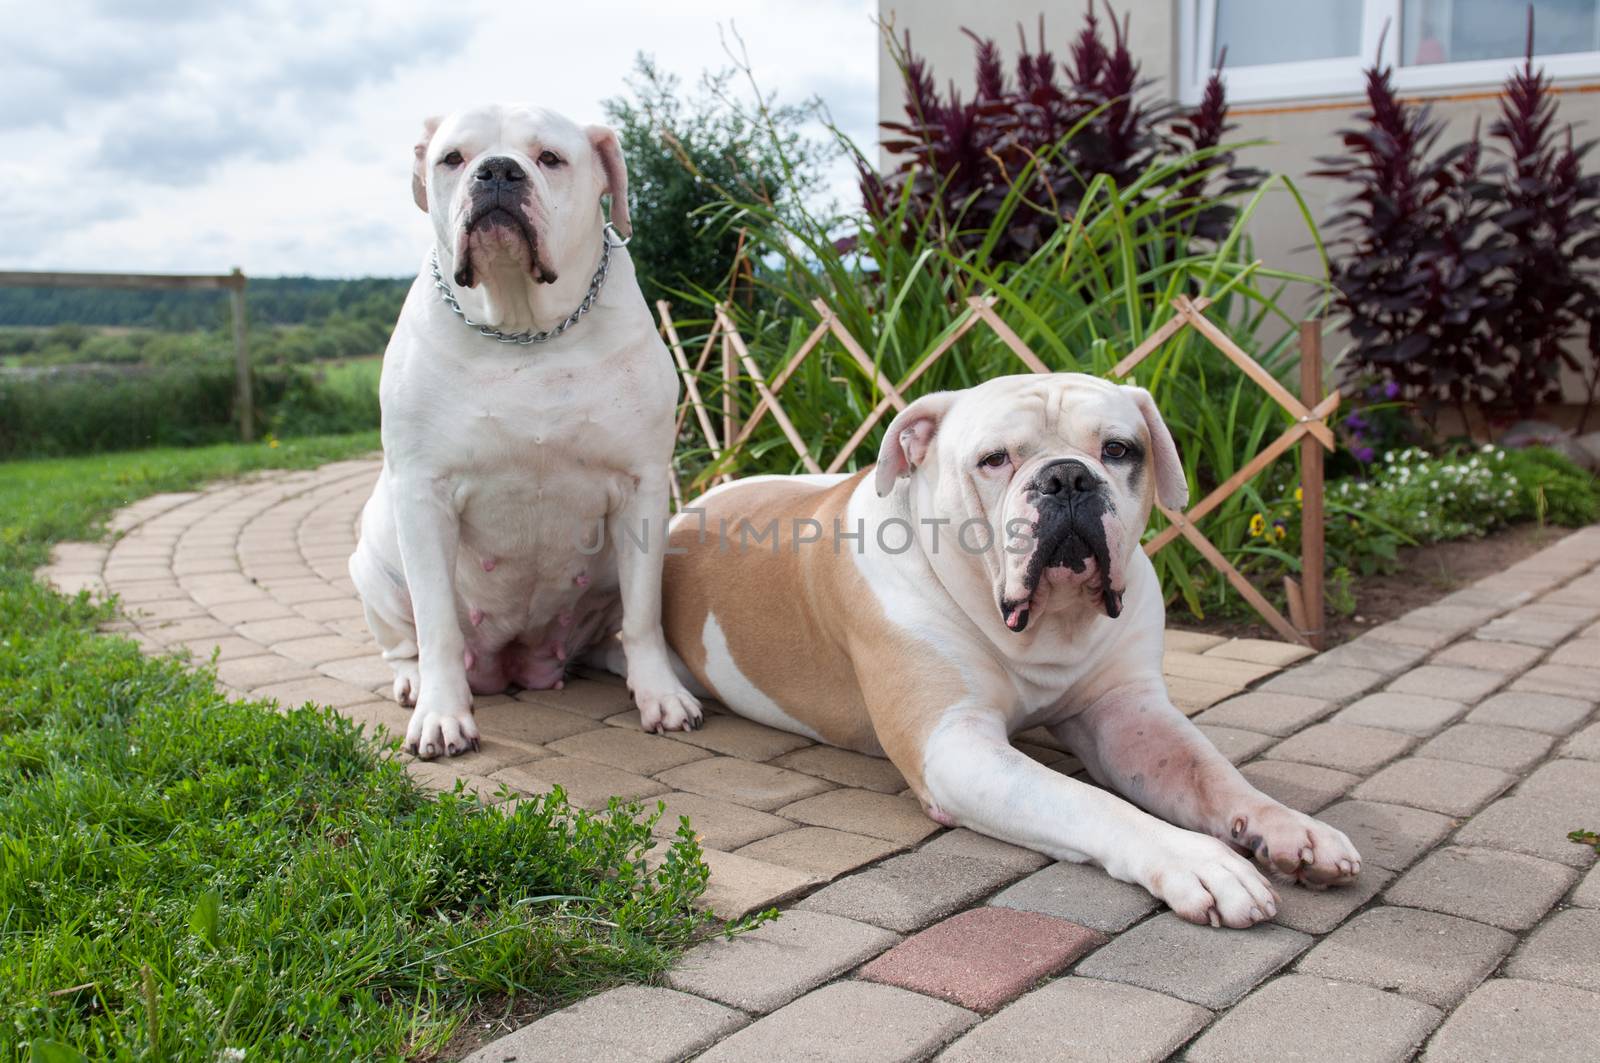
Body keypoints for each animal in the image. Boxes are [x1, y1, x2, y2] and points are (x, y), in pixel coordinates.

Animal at [350, 104, 700, 758]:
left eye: (550, 159)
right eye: (452, 158)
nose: (497, 172)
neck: (523, 331)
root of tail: (516, 663)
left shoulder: (641, 486)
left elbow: (644, 614)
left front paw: (661, 695)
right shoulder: (423, 493)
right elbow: (435, 623)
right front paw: (442, 716)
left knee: (615, 630)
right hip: (373, 568)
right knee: (405, 641)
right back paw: (415, 683)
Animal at [662, 376, 1363, 928]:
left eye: (1118, 450)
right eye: (994, 458)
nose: (1068, 476)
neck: (1046, 627)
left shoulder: (1127, 714)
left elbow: (1212, 773)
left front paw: (1290, 828)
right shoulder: (955, 745)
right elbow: (1088, 800)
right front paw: (1197, 859)